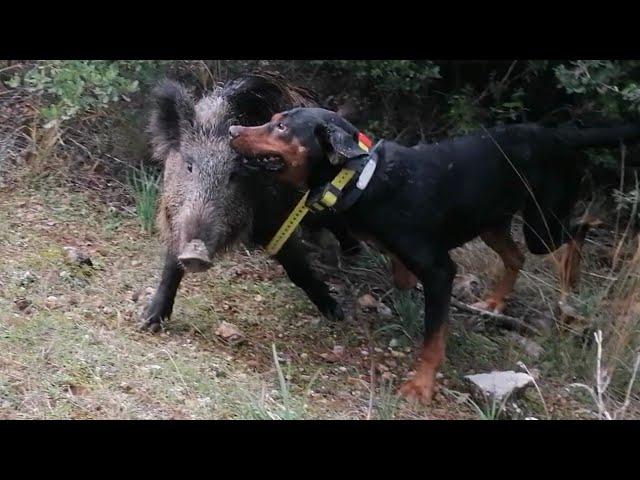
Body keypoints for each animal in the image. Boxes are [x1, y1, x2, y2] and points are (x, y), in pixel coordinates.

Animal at [230, 107, 640, 404]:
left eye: (282, 127)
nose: (233, 129)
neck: (363, 176)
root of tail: (562, 134)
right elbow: (401, 278)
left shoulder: (441, 271)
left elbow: (433, 338)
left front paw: (420, 386)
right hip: (491, 223)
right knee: (518, 256)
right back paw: (495, 301)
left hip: (542, 225)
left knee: (579, 231)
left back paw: (571, 287)